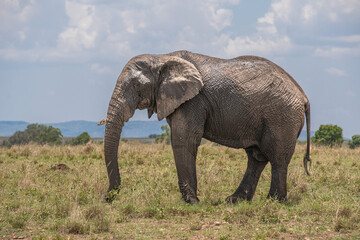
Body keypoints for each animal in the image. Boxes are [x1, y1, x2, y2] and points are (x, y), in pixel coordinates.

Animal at [100, 49, 310, 203]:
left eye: (136, 86)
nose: (105, 197)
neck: (162, 57)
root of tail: (303, 96)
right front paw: (193, 200)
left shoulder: (193, 100)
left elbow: (183, 140)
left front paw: (191, 201)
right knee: (256, 157)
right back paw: (234, 200)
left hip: (282, 117)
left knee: (277, 158)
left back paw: (274, 201)